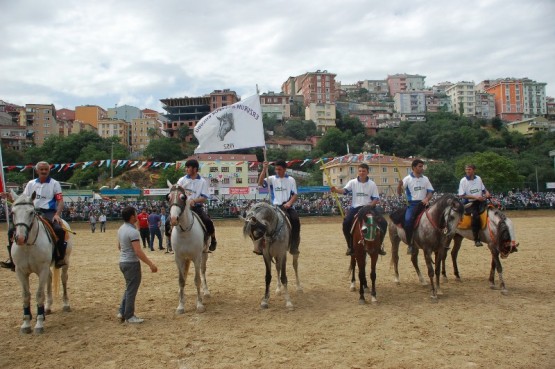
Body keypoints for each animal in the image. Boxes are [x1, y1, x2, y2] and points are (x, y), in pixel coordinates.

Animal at [10, 190, 73, 334]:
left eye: (31, 212)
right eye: (12, 212)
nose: (20, 238)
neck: (28, 246)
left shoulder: (42, 269)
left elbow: (39, 294)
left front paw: (39, 323)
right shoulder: (20, 271)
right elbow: (26, 295)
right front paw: (26, 323)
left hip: (65, 261)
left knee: (64, 279)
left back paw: (66, 304)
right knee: (49, 279)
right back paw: (48, 307)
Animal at [167, 183, 211, 312]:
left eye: (183, 197)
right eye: (168, 197)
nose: (173, 219)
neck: (185, 232)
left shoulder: (196, 257)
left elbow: (197, 280)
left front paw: (199, 304)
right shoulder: (178, 258)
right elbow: (181, 280)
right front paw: (181, 306)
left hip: (204, 255)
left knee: (202, 271)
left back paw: (206, 291)